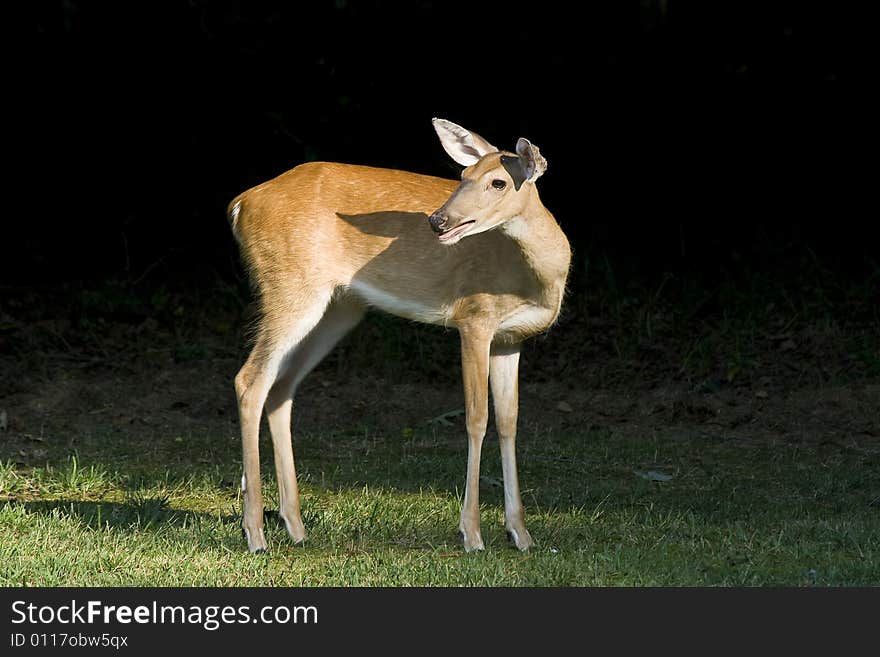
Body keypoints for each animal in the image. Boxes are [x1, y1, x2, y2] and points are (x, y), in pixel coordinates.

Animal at [227, 119, 572, 552]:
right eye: (462, 175)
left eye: (498, 182)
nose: (438, 221)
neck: (539, 278)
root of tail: (241, 203)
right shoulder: (474, 318)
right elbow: (476, 418)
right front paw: (472, 534)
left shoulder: (511, 338)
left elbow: (509, 420)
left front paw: (521, 534)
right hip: (289, 286)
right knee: (249, 380)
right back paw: (255, 532)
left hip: (339, 307)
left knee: (281, 388)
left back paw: (295, 527)